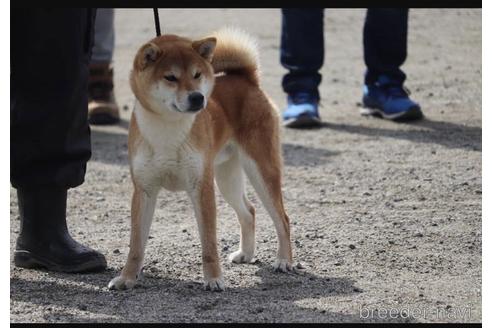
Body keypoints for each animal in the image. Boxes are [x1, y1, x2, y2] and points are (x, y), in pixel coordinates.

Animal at [109, 26, 294, 290]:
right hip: (227, 179)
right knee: (249, 212)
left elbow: (208, 243)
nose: (197, 97)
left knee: (283, 219)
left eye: (197, 75)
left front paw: (214, 279)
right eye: (171, 77)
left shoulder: (201, 186)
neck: (168, 128)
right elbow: (135, 246)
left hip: (261, 171)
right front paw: (126, 278)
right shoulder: (144, 190)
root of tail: (247, 79)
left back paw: (284, 261)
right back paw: (246, 254)